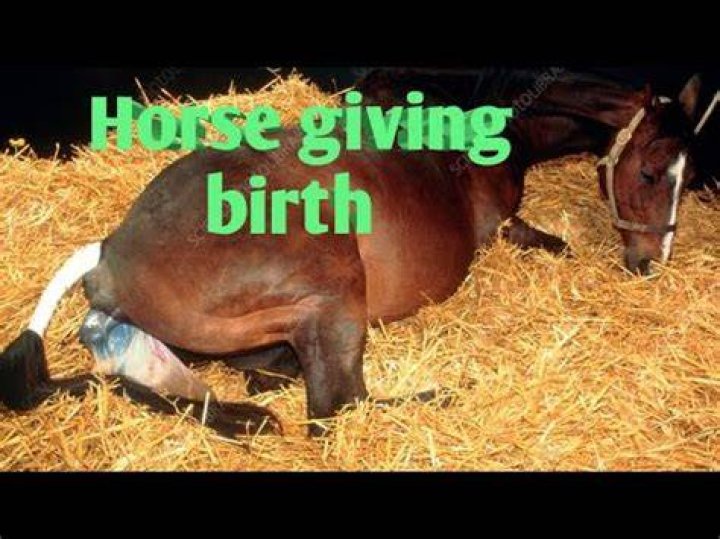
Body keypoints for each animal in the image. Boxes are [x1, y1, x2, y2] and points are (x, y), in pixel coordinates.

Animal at [0, 69, 704, 438]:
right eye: (650, 173)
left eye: (690, 178)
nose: (652, 261)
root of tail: (108, 255)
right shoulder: (502, 227)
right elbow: (547, 241)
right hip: (333, 295)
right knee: (337, 406)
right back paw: (437, 397)